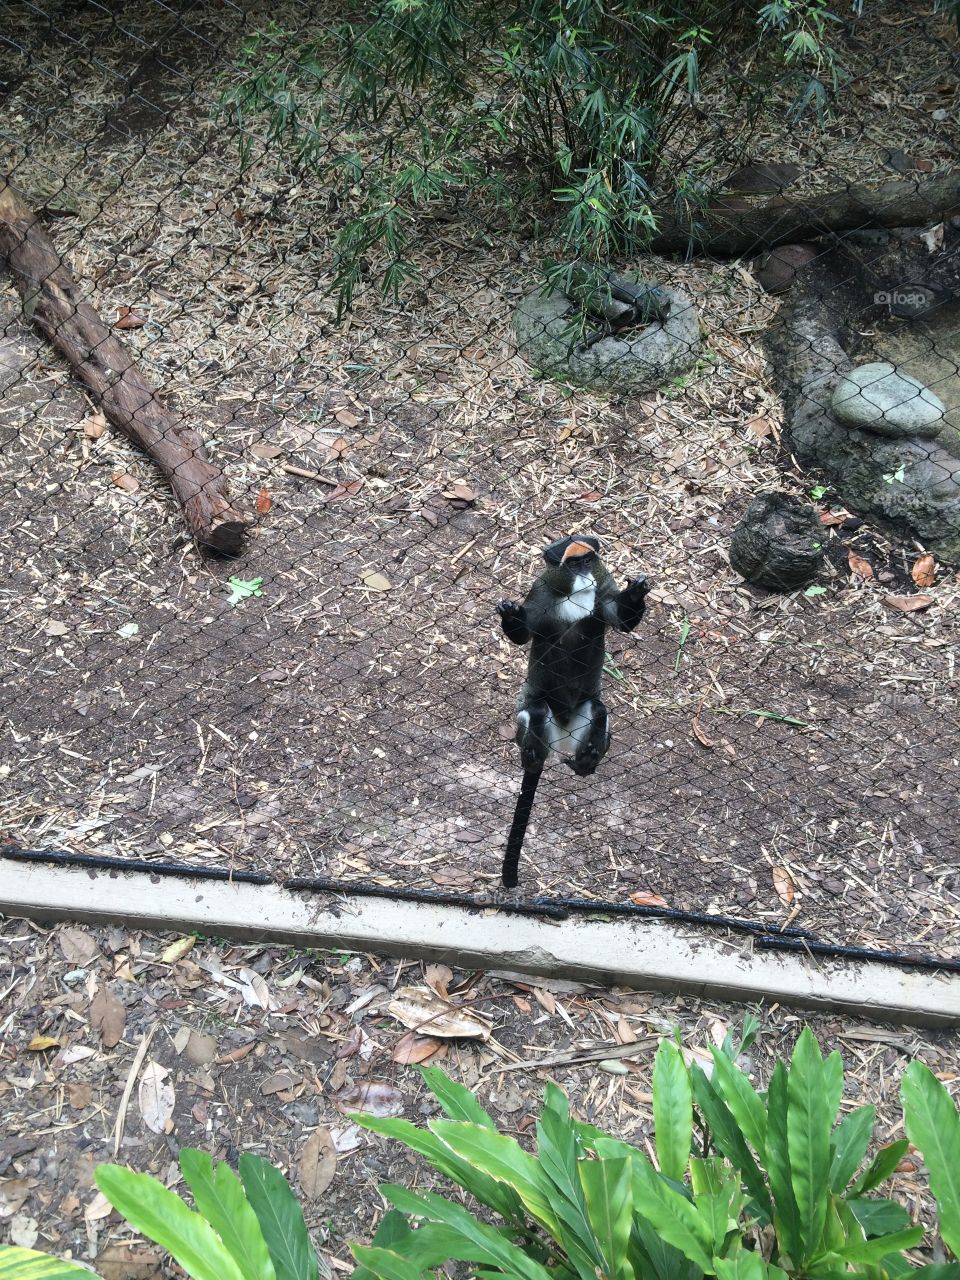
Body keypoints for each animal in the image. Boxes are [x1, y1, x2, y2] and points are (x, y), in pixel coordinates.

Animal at [496, 535, 651, 888]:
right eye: (572, 564)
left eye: (588, 561)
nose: (584, 576)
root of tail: (563, 735)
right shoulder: (539, 594)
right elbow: (523, 634)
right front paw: (510, 614)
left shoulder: (604, 592)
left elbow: (620, 619)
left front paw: (636, 591)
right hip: (536, 713)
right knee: (536, 713)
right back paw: (533, 757)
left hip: (587, 712)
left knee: (598, 711)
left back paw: (585, 760)